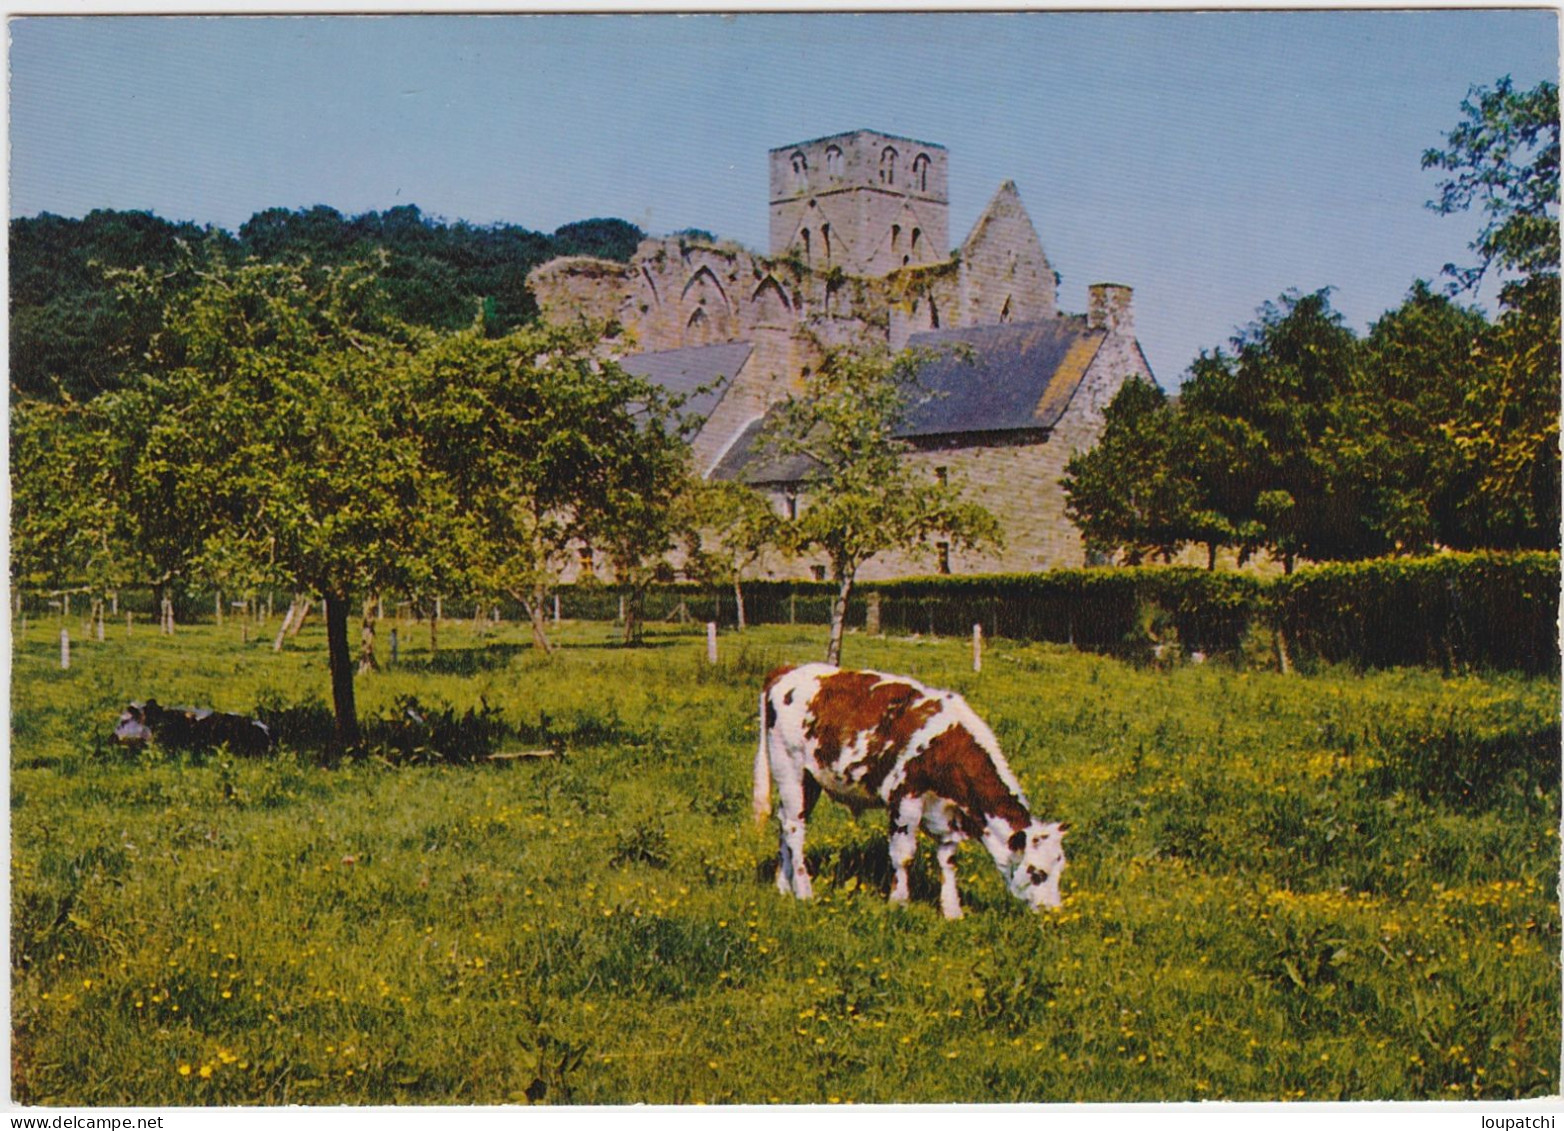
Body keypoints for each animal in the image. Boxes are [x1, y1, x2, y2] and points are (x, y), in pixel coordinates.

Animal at [750, 663, 1069, 919]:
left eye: (1060, 868)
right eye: (1037, 872)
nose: (1054, 911)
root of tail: (786, 670)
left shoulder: (947, 813)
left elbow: (948, 860)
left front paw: (953, 912)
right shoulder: (905, 799)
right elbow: (903, 856)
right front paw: (899, 903)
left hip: (809, 780)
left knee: (785, 823)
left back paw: (783, 886)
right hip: (790, 768)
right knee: (795, 829)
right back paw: (804, 891)